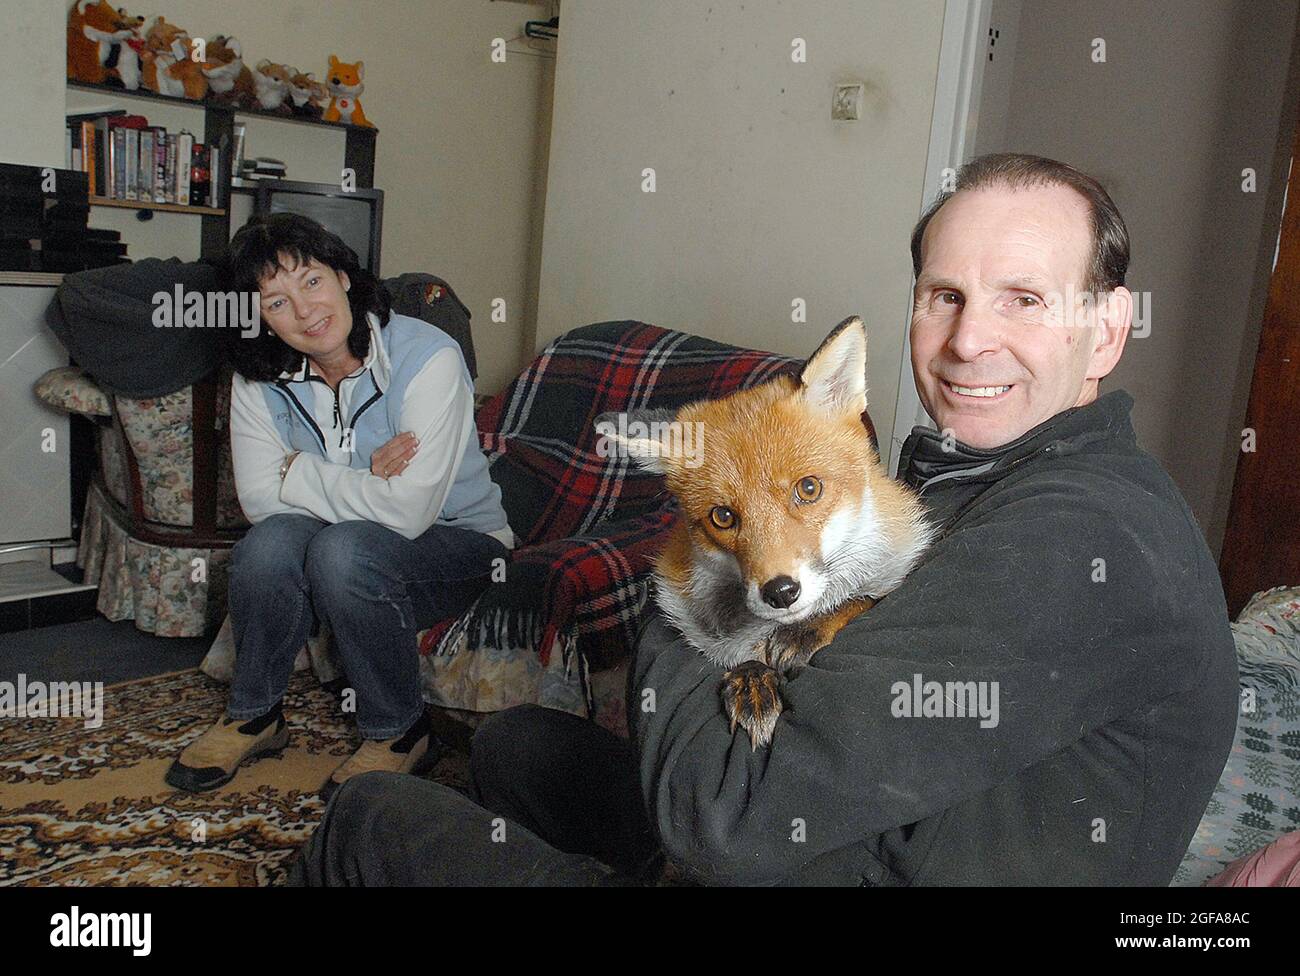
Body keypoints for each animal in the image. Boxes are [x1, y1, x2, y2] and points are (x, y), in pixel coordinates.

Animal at [598, 318, 935, 748]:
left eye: (809, 488)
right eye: (723, 517)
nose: (781, 592)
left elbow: (865, 598)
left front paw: (810, 629)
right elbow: (739, 658)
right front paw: (752, 679)